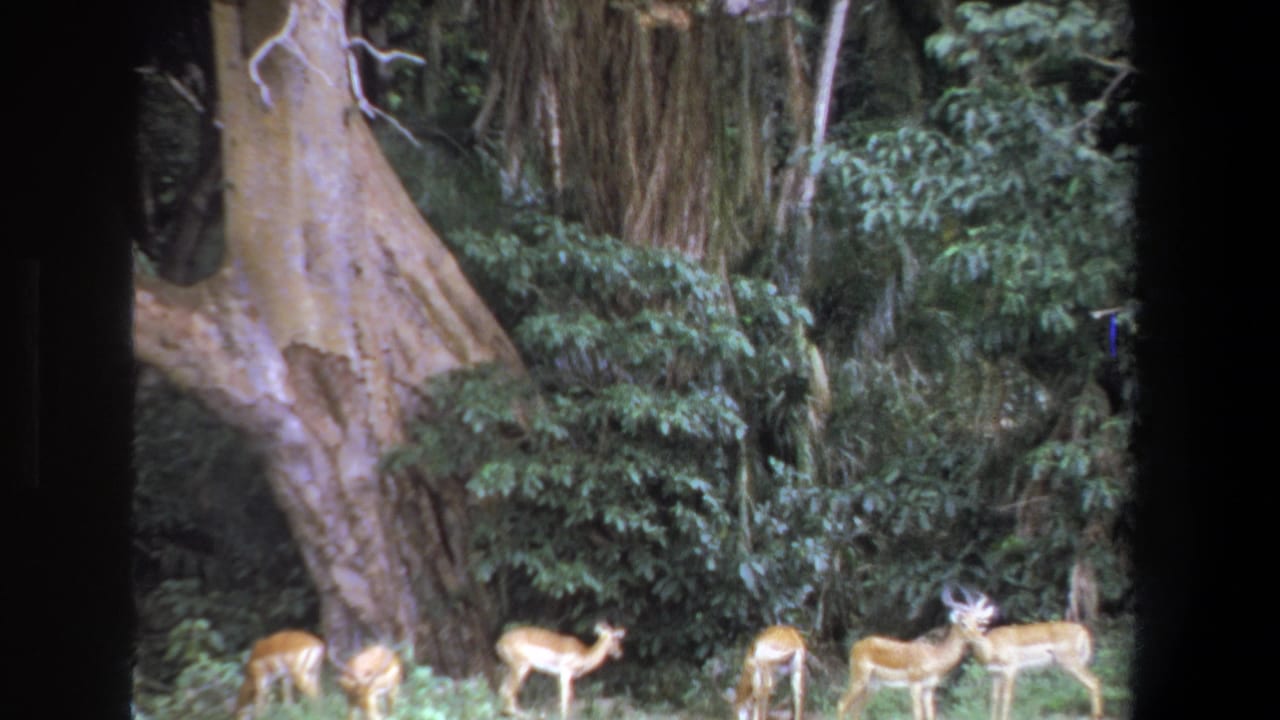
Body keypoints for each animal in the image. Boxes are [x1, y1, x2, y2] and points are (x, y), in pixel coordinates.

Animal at [496, 621, 626, 719]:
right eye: (615, 638)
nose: (619, 653)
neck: (584, 654)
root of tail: (499, 643)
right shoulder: (565, 672)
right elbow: (566, 698)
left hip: (512, 668)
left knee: (503, 689)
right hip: (521, 667)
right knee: (509, 691)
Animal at [835, 587, 988, 720]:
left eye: (977, 622)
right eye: (963, 623)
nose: (981, 638)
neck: (934, 656)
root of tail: (857, 646)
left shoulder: (928, 689)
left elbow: (930, 716)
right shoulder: (915, 686)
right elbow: (918, 715)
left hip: (873, 686)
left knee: (855, 711)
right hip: (859, 680)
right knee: (842, 705)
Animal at [952, 588, 1104, 720]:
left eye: (978, 621)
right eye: (963, 623)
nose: (975, 637)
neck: (992, 646)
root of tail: (1082, 630)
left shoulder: (1011, 670)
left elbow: (1007, 698)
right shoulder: (995, 674)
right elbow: (994, 699)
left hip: (1071, 663)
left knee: (1094, 681)